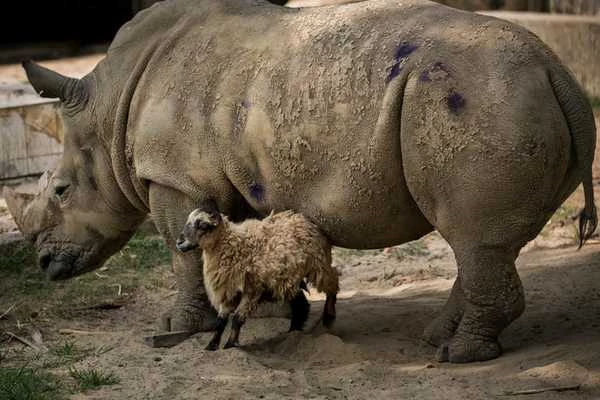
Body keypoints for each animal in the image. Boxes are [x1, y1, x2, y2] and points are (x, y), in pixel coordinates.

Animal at [176, 209, 340, 350]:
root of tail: (303, 219)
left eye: (203, 225)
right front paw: (211, 346)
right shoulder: (229, 291)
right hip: (289, 278)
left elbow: (237, 319)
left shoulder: (252, 289)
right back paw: (293, 332)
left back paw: (328, 315)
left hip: (318, 265)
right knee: (300, 304)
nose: (179, 242)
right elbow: (220, 322)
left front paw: (230, 345)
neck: (231, 244)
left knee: (333, 282)